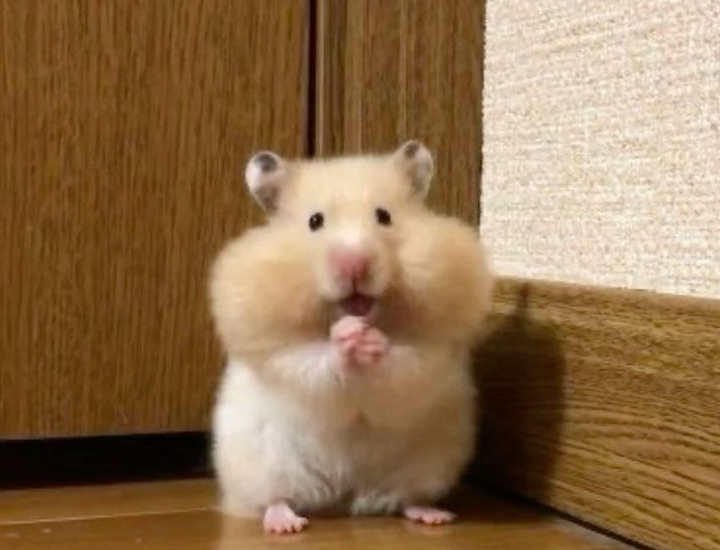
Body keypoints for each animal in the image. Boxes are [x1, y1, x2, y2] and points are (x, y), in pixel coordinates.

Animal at [209, 140, 493, 534]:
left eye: (384, 216)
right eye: (315, 221)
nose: (354, 264)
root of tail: (343, 495)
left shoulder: (434, 350)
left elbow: (406, 360)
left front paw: (371, 341)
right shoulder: (277, 351)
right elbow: (309, 358)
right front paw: (347, 335)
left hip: (430, 459)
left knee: (408, 497)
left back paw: (433, 516)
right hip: (263, 460)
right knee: (275, 498)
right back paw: (286, 524)